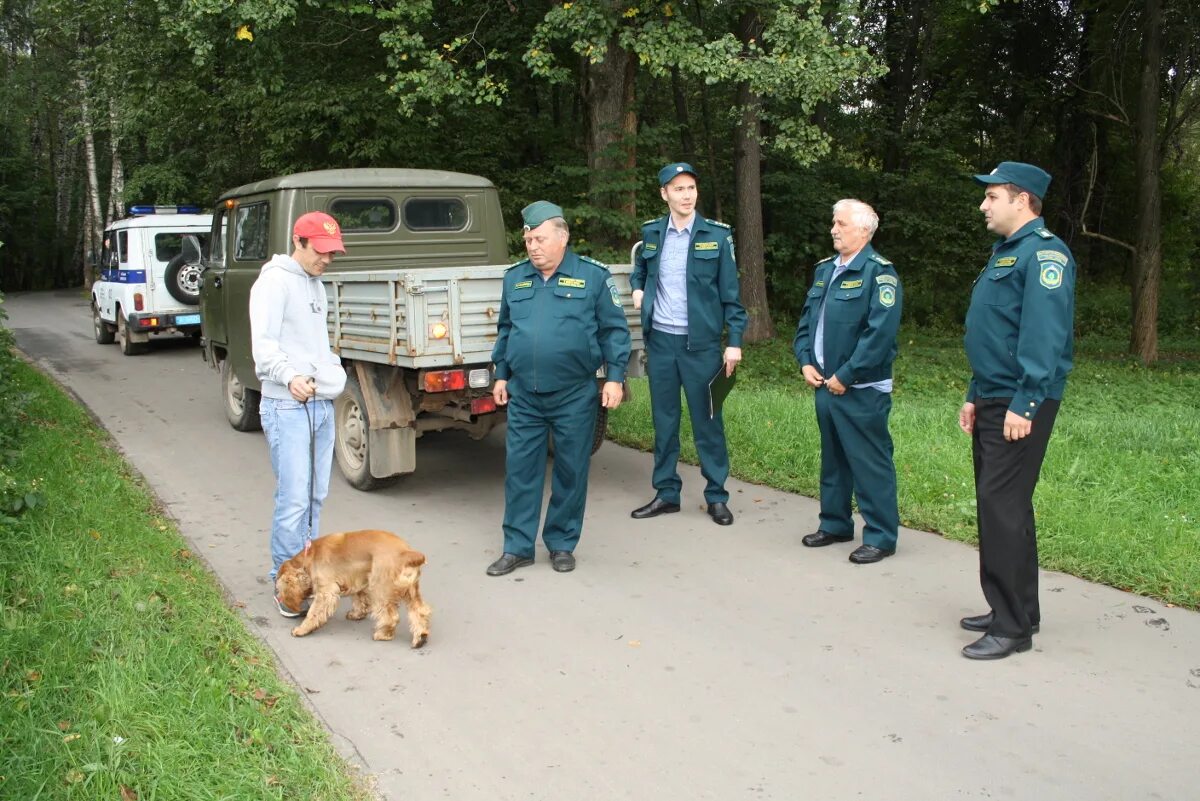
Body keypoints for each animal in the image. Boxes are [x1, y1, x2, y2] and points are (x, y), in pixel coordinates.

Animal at [273, 532, 432, 642]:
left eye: (279, 588)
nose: (278, 597)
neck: (309, 557)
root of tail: (407, 552)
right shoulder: (358, 580)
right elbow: (359, 600)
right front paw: (357, 614)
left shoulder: (326, 592)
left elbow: (314, 613)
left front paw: (302, 630)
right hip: (411, 590)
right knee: (420, 611)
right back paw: (421, 637)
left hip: (380, 588)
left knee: (391, 617)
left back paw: (382, 634)